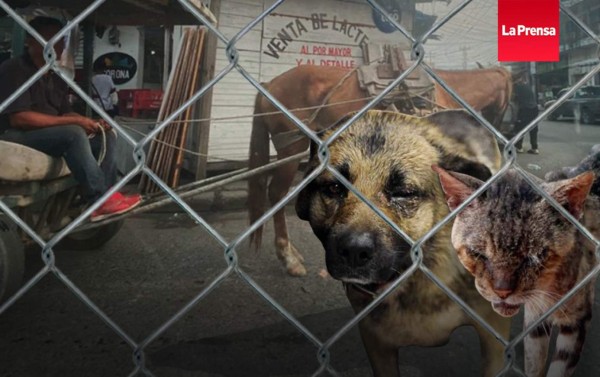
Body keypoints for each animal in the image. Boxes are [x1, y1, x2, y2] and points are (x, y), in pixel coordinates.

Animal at [434, 157, 596, 374]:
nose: (502, 291)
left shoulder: (578, 321)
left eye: (536, 256)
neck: (550, 289)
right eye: (477, 253)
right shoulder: (535, 320)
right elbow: (534, 363)